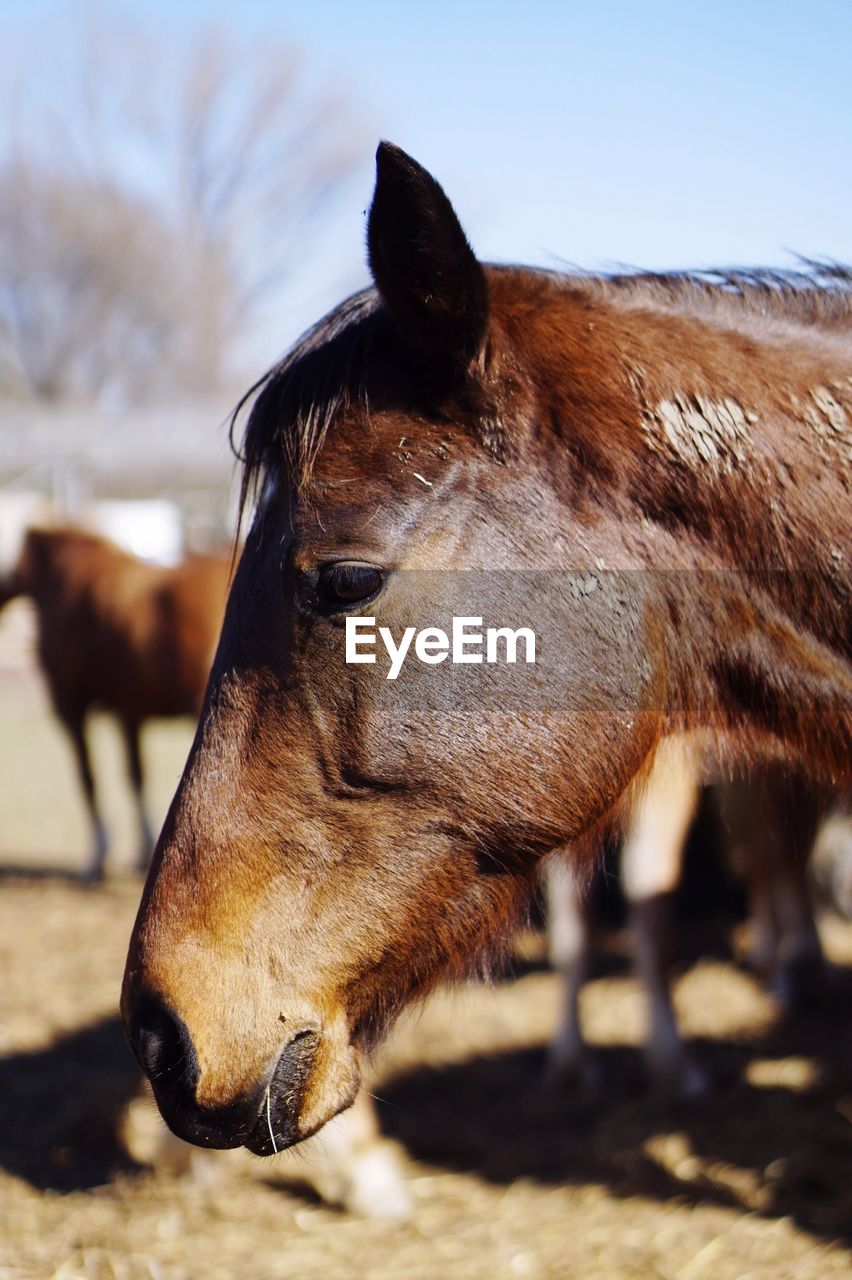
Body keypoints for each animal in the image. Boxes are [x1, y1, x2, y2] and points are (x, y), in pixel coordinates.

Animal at [0, 527, 228, 880]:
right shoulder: (129, 711)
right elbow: (136, 774)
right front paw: (141, 850)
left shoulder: (73, 708)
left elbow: (89, 777)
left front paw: (99, 854)